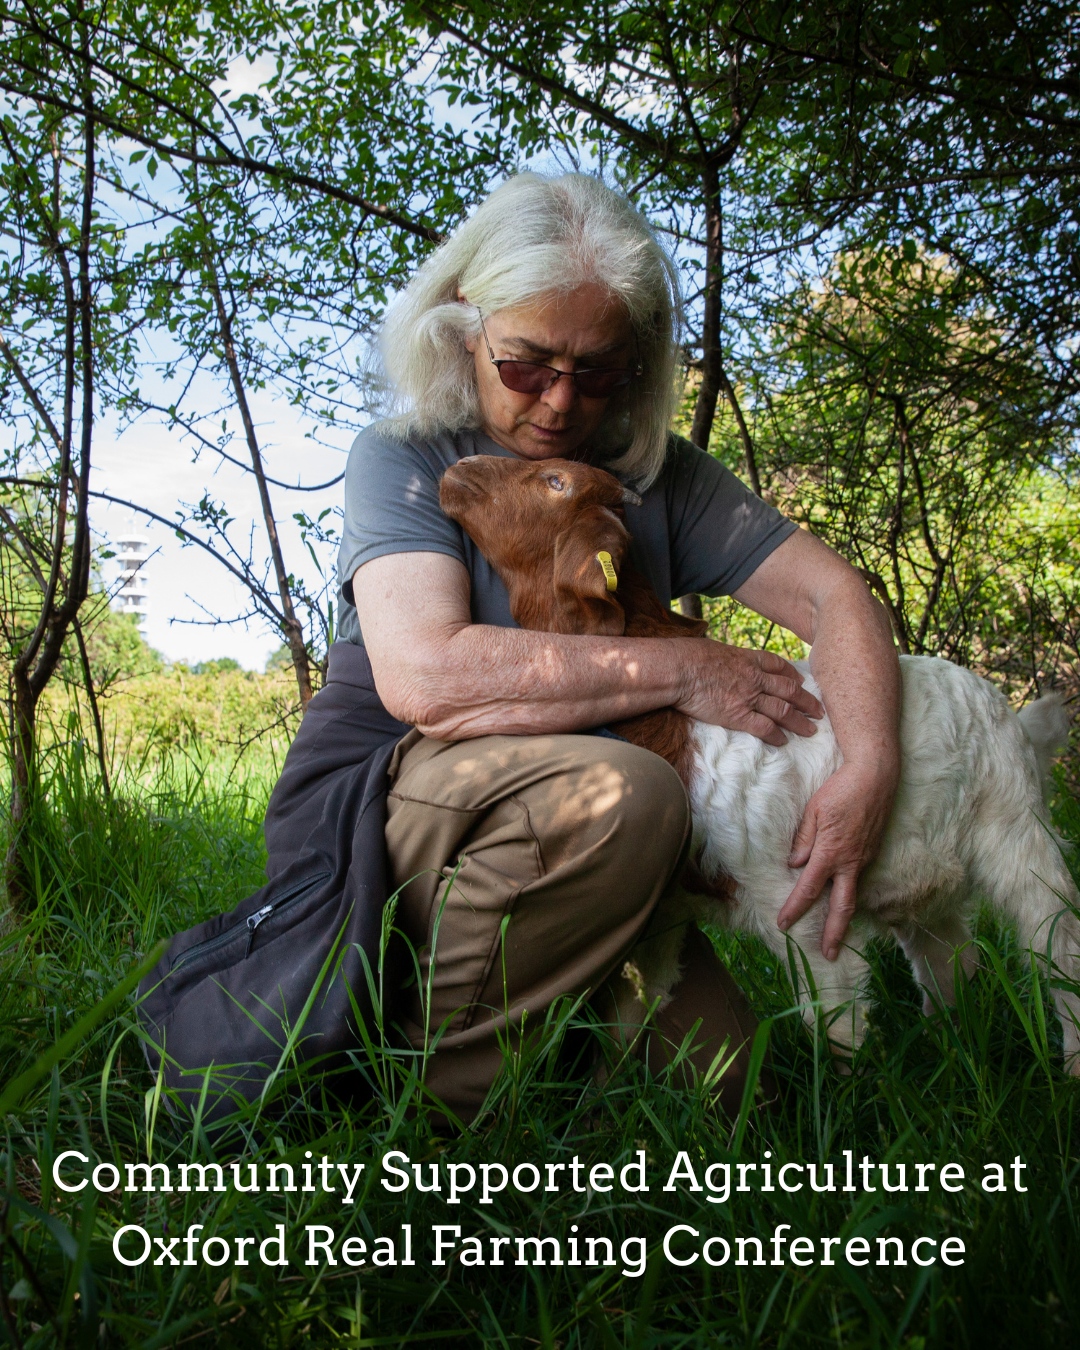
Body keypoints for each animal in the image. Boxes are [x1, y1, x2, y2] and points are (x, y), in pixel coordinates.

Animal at [439, 453, 1080, 1070]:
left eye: (555, 480)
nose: (457, 470)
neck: (678, 729)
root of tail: (1011, 713)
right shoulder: (665, 909)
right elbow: (632, 1011)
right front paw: (612, 1089)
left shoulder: (797, 900)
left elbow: (835, 1023)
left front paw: (850, 1096)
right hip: (924, 878)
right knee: (949, 961)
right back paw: (952, 1048)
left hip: (1017, 831)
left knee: (1056, 942)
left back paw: (1063, 1066)